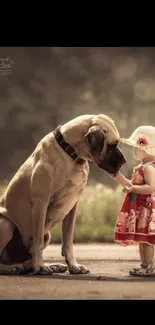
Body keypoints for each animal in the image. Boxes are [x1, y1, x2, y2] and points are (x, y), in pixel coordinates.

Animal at [0, 114, 126, 274]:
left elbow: (68, 240)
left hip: (46, 235)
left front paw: (73, 265)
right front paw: (39, 266)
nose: (124, 161)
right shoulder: (41, 203)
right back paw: (14, 268)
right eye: (111, 145)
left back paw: (46, 265)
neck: (70, 152)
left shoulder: (72, 206)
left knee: (28, 257)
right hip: (5, 224)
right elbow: (37, 240)